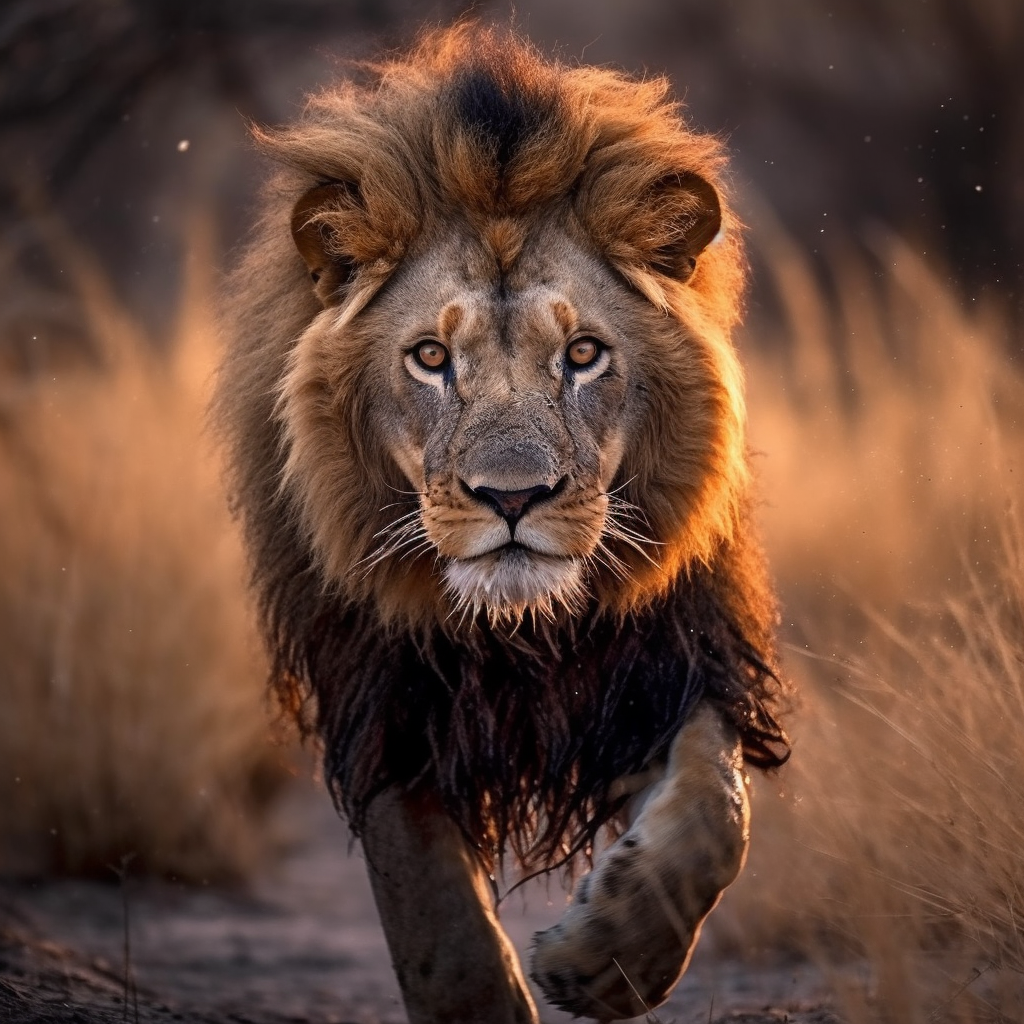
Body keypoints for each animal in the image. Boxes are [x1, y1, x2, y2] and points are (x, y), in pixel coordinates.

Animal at [215, 24, 789, 1024]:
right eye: (430, 358)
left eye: (585, 353)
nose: (513, 497)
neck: (513, 631)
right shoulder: (384, 698)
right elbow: (435, 916)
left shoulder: (666, 656)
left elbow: (716, 814)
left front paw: (608, 958)